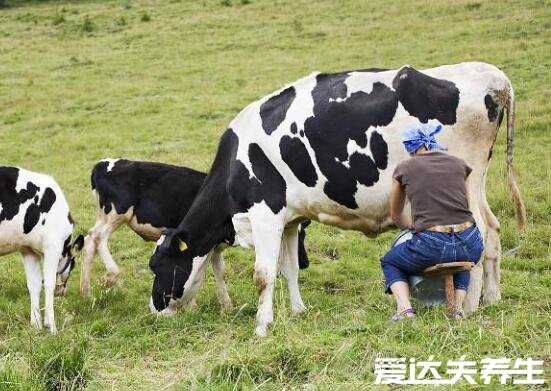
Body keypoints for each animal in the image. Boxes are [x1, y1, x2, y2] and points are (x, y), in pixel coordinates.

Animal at [0, 167, 84, 336]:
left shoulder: (28, 250)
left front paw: (37, 324)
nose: (62, 292)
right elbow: (49, 284)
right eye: (73, 266)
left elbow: (34, 284)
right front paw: (52, 327)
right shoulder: (53, 247)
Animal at [79, 158, 310, 312]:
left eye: (304, 233)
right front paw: (192, 306)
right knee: (96, 238)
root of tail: (103, 164)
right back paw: (110, 276)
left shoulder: (213, 244)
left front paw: (226, 305)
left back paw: (86, 292)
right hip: (115, 213)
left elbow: (218, 271)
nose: (305, 262)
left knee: (89, 241)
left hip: (106, 215)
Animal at [148, 62, 528, 336]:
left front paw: (261, 327)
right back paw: (492, 298)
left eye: (157, 265)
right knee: (493, 230)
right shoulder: (291, 219)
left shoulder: (265, 212)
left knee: (477, 237)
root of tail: (492, 76)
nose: (154, 308)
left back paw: (469, 307)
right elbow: (289, 269)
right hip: (477, 182)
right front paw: (298, 311)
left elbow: (263, 274)